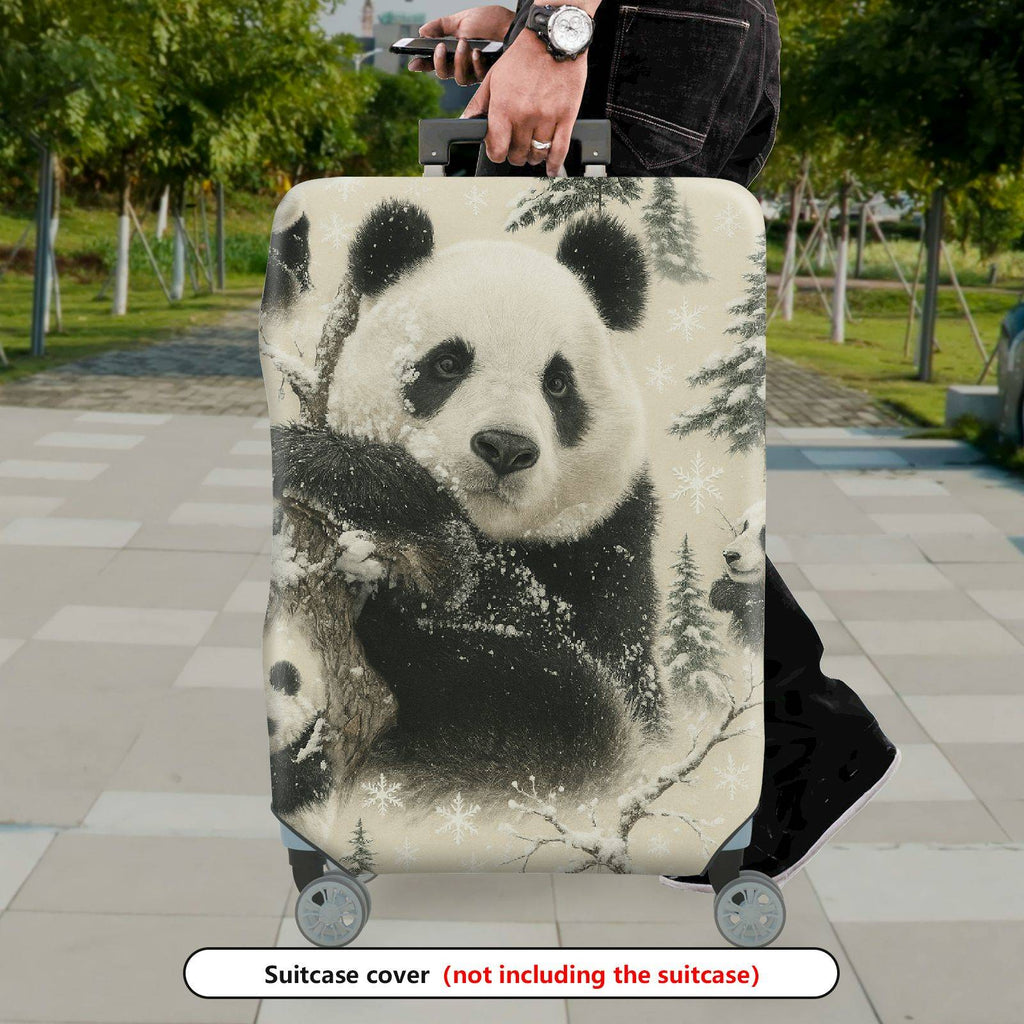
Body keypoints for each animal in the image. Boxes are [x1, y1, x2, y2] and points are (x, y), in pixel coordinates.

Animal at [264, 198, 666, 808]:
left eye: (558, 383)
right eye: (448, 363)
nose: (506, 448)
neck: (491, 533)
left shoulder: (608, 561)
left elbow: (572, 713)